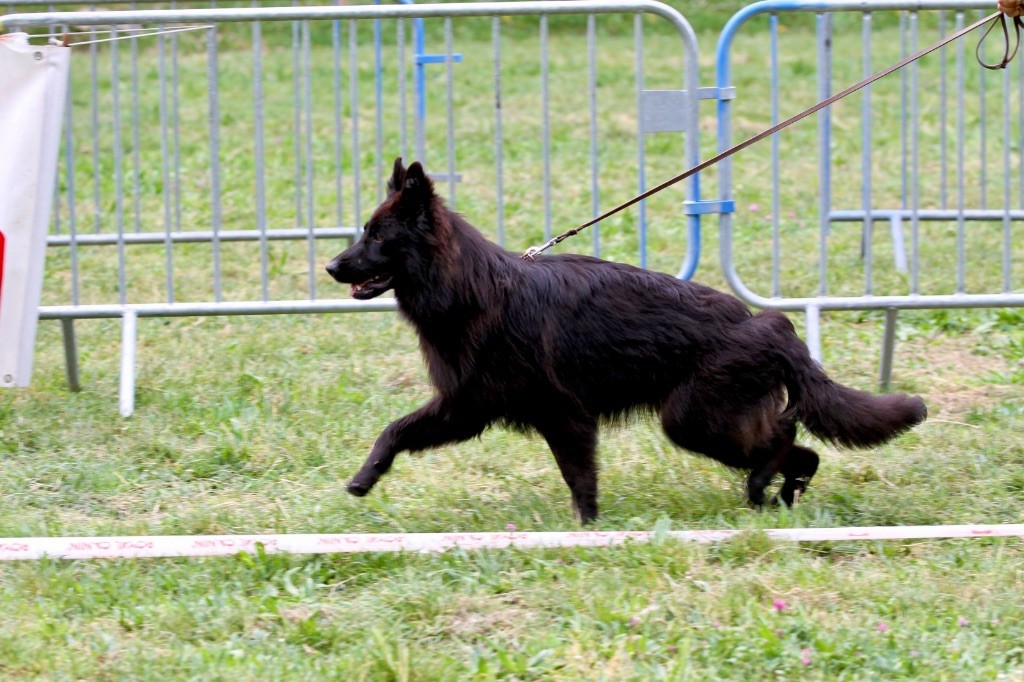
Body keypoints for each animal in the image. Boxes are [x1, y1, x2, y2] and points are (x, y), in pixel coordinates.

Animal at [325, 159, 929, 520]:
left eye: (377, 237)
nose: (330, 266)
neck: (470, 288)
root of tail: (769, 324)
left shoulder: (560, 417)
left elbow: (580, 479)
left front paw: (588, 529)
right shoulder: (465, 406)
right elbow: (395, 430)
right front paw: (365, 478)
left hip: (693, 420)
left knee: (783, 434)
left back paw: (764, 483)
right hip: (711, 420)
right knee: (801, 447)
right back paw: (782, 489)